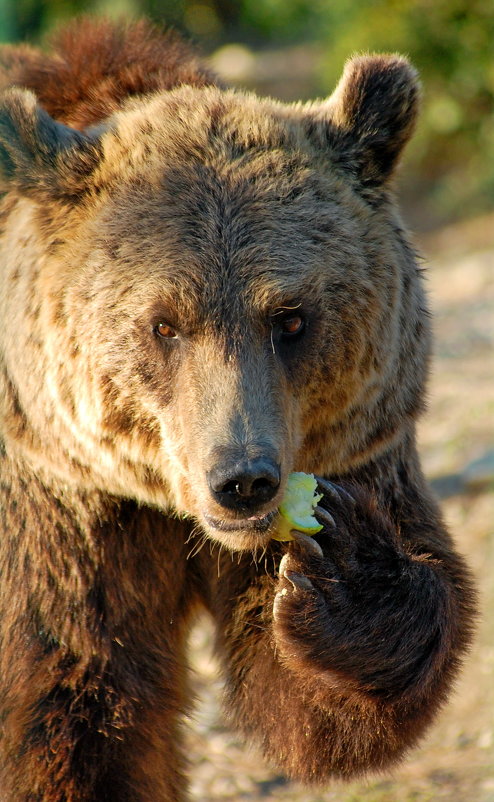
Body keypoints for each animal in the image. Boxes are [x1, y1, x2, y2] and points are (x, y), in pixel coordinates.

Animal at [0, 17, 476, 800]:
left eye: (291, 318)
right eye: (164, 324)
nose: (243, 480)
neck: (173, 511)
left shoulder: (349, 446)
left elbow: (304, 687)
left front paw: (348, 571)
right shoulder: (61, 502)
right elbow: (74, 692)